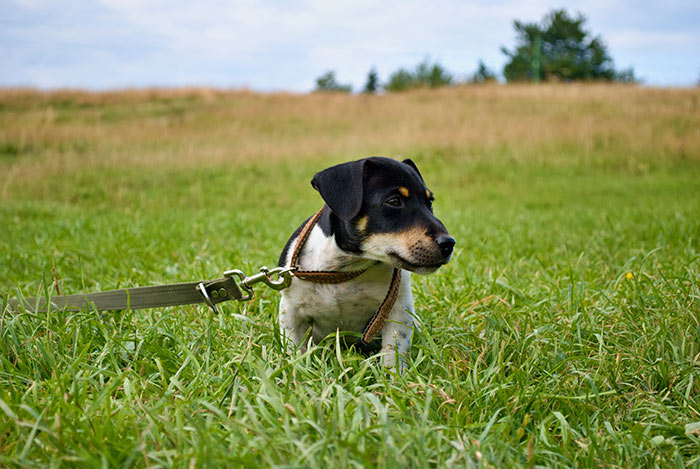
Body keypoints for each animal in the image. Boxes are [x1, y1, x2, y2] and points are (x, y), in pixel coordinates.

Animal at [276, 156, 456, 370]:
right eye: (394, 201)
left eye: (429, 202)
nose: (449, 243)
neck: (346, 268)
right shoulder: (291, 312)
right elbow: (294, 350)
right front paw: (295, 372)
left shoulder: (397, 309)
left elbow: (393, 351)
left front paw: (393, 376)